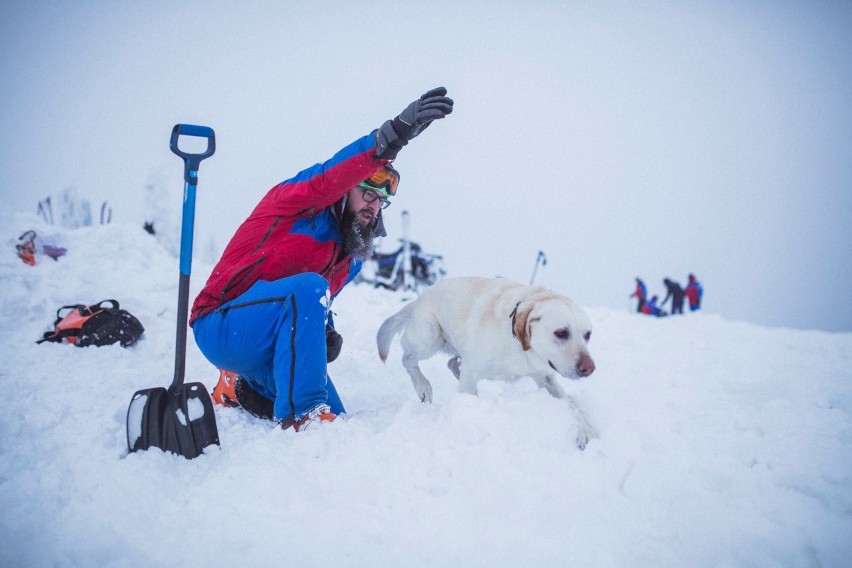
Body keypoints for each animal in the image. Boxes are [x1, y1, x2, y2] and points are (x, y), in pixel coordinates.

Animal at [376, 278, 596, 450]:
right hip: (430, 337)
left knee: (451, 363)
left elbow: (571, 403)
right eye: (561, 333)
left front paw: (586, 430)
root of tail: (419, 298)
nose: (589, 368)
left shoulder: (544, 376)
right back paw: (423, 386)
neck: (518, 344)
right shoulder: (472, 371)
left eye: (588, 335)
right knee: (407, 358)